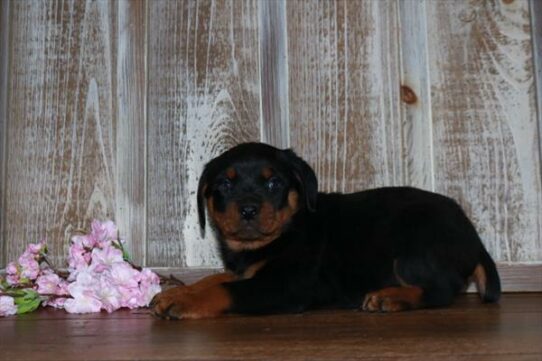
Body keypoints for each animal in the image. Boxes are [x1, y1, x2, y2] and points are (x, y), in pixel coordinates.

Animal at [151, 142, 504, 320]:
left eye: (274, 183)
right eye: (225, 184)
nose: (248, 209)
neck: (287, 231)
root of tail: (474, 238)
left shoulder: (288, 285)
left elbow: (227, 289)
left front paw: (185, 302)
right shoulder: (249, 271)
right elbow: (217, 278)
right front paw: (176, 292)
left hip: (414, 244)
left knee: (442, 289)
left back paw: (390, 297)